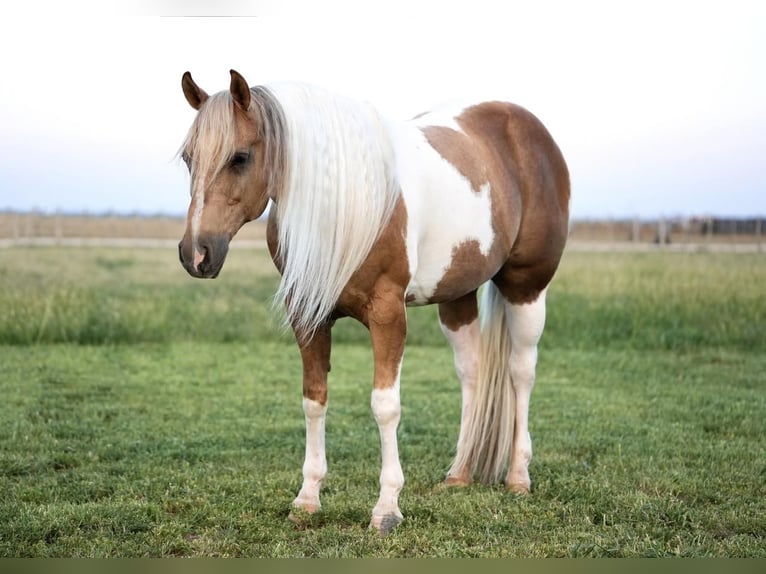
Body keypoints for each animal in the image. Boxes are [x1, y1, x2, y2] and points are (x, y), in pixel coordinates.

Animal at [176, 71, 568, 536]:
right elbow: (314, 399)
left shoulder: (388, 314)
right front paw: (307, 499)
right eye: (188, 158)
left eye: (239, 157)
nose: (196, 254)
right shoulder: (308, 316)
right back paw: (459, 474)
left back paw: (518, 477)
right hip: (457, 295)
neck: (346, 204)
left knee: (520, 372)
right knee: (471, 372)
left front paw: (387, 508)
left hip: (527, 287)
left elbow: (385, 407)